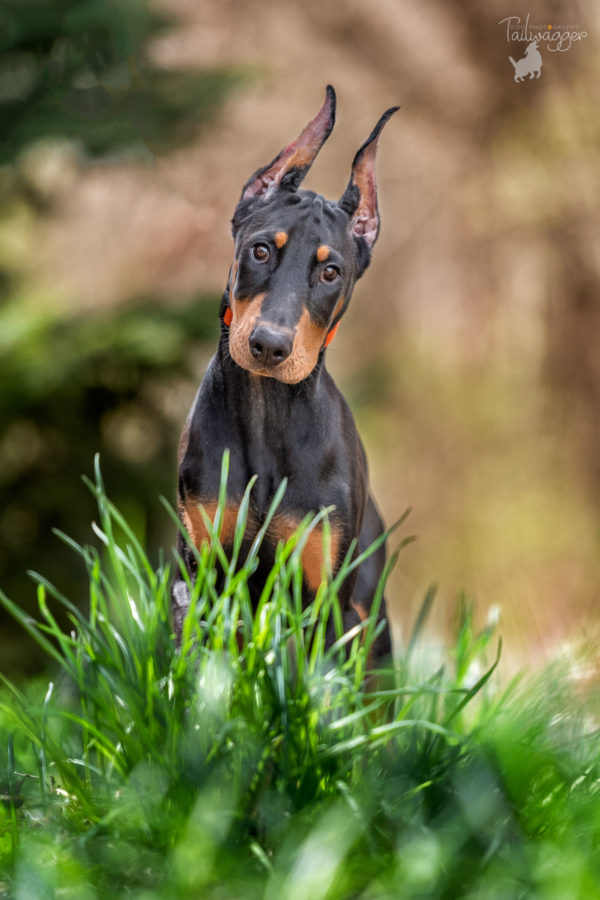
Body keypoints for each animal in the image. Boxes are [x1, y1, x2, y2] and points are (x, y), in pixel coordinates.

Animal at [173, 86, 398, 660]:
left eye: (330, 271)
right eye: (260, 250)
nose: (269, 346)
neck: (267, 410)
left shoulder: (327, 600)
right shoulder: (203, 574)